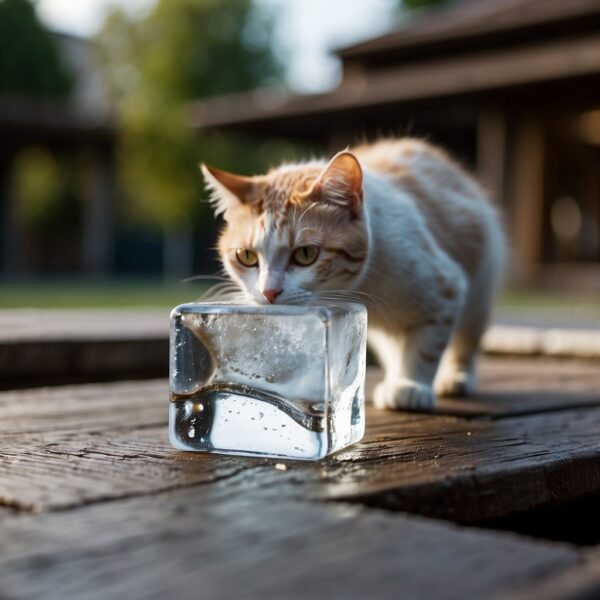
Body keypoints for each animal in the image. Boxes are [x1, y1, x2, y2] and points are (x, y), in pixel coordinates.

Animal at [203, 139, 506, 412]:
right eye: (246, 256)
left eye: (305, 254)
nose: (269, 292)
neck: (361, 286)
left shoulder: (445, 288)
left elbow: (425, 347)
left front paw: (410, 386)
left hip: (480, 286)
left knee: (466, 338)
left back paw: (455, 377)